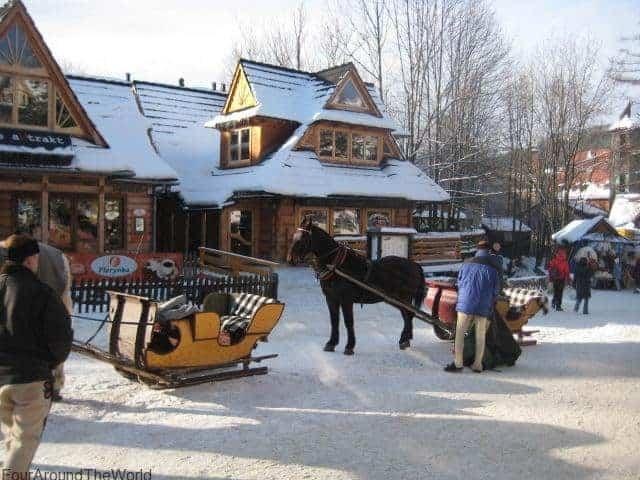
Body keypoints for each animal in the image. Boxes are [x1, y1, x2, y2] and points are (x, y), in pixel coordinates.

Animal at [288, 216, 428, 354]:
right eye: (294, 236)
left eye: (302, 238)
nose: (290, 259)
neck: (337, 265)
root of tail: (414, 265)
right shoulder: (331, 299)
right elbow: (334, 321)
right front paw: (331, 343)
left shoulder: (346, 300)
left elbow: (348, 322)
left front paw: (349, 346)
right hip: (397, 300)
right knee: (407, 316)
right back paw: (405, 339)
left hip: (404, 298)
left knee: (408, 315)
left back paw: (404, 339)